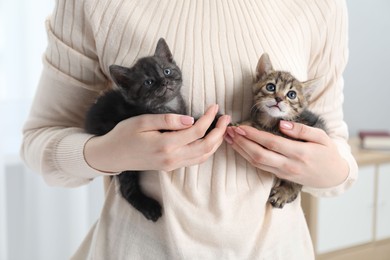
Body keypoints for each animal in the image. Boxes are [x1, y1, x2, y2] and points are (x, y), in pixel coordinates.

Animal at [85, 38, 187, 221]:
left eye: (167, 71)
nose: (164, 81)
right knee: (127, 189)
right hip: (124, 164)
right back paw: (149, 207)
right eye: (148, 82)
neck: (168, 105)